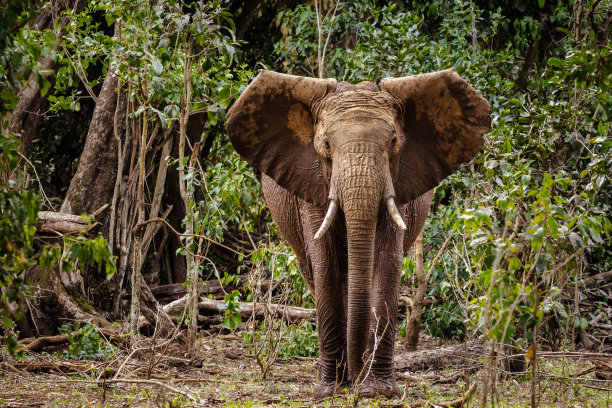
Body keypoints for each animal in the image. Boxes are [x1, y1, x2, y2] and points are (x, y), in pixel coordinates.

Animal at [227, 68, 490, 396]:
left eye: (393, 142)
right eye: (326, 145)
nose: (354, 381)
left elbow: (387, 263)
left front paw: (377, 391)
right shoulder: (313, 185)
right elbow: (326, 265)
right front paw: (330, 391)